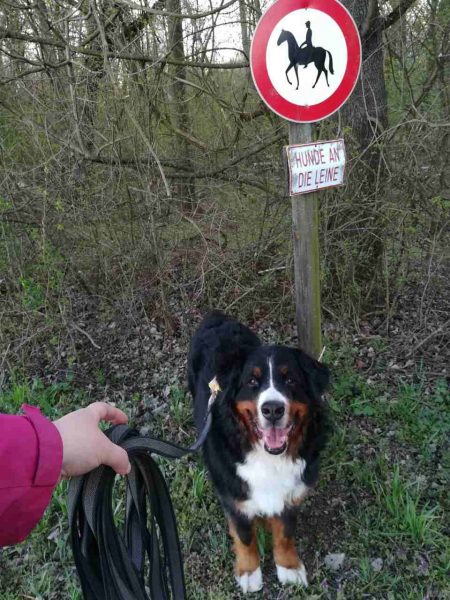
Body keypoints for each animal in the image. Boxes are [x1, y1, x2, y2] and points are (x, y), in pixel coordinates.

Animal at [187, 312, 330, 592]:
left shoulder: (291, 495)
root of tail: (216, 316)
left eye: (290, 379)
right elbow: (244, 537)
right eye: (252, 381)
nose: (272, 409)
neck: (268, 458)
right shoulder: (234, 498)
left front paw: (289, 568)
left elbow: (285, 534)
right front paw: (249, 572)